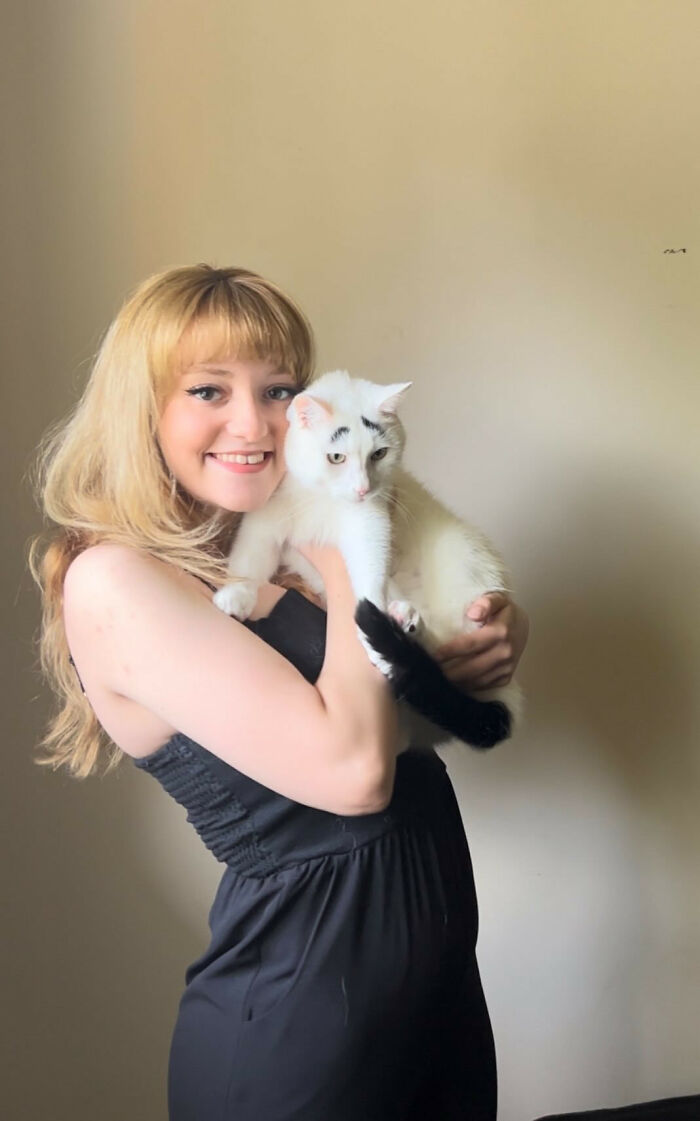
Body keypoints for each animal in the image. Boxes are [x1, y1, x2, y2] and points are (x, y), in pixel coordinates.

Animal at [216, 372, 522, 748]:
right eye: (336, 457)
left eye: (379, 453)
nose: (362, 489)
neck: (322, 500)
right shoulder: (266, 521)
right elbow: (249, 558)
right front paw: (235, 596)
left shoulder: (370, 524)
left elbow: (370, 568)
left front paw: (373, 622)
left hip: (463, 562)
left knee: (440, 645)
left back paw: (400, 623)